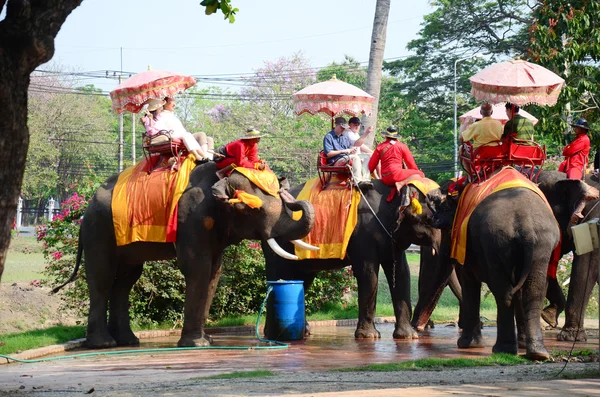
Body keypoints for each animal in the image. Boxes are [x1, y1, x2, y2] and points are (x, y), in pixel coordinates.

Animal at [56, 161, 316, 346]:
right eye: (253, 209)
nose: (288, 193)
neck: (221, 174)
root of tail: (85, 209)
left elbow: (214, 272)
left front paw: (207, 341)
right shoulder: (191, 218)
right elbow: (197, 267)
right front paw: (197, 344)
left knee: (125, 281)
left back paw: (127, 341)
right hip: (99, 230)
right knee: (102, 277)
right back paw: (104, 344)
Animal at [264, 178, 426, 338]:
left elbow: (402, 273)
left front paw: (409, 336)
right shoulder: (364, 232)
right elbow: (367, 273)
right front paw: (369, 336)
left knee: (303, 280)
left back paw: (304, 332)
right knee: (278, 275)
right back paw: (273, 334)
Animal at [396, 182, 560, 358]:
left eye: (444, 229)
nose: (418, 327)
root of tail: (527, 227)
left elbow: (469, 281)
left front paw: (466, 345)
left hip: (496, 243)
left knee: (504, 292)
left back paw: (503, 349)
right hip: (540, 246)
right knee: (533, 291)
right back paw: (537, 353)